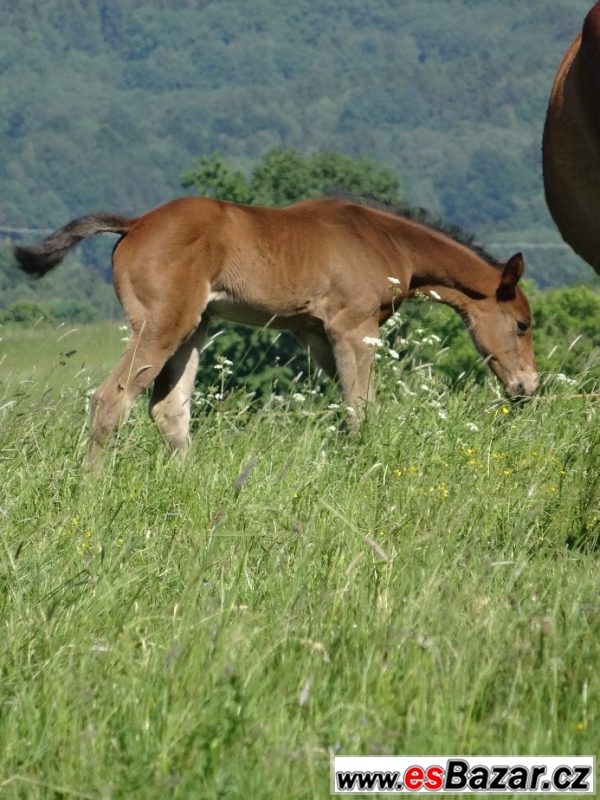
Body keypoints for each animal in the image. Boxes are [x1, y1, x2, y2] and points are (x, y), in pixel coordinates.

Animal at [15, 196, 540, 466]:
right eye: (522, 324)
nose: (528, 388)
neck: (383, 239)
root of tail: (136, 223)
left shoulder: (316, 334)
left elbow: (346, 405)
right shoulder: (354, 327)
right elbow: (361, 408)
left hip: (194, 328)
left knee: (169, 411)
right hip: (162, 325)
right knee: (111, 400)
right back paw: (90, 484)